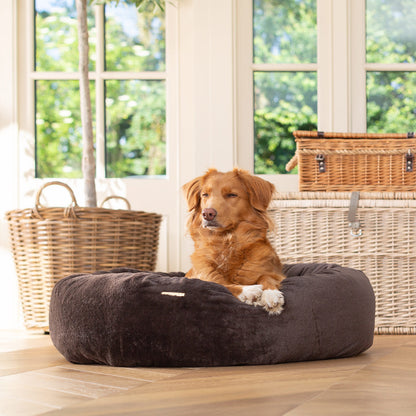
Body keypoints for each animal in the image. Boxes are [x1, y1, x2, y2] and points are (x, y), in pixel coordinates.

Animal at [183, 167, 286, 314]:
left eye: (232, 195)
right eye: (205, 195)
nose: (207, 213)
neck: (227, 240)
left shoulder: (274, 272)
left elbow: (266, 277)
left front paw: (271, 295)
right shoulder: (199, 276)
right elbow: (220, 283)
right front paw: (248, 291)